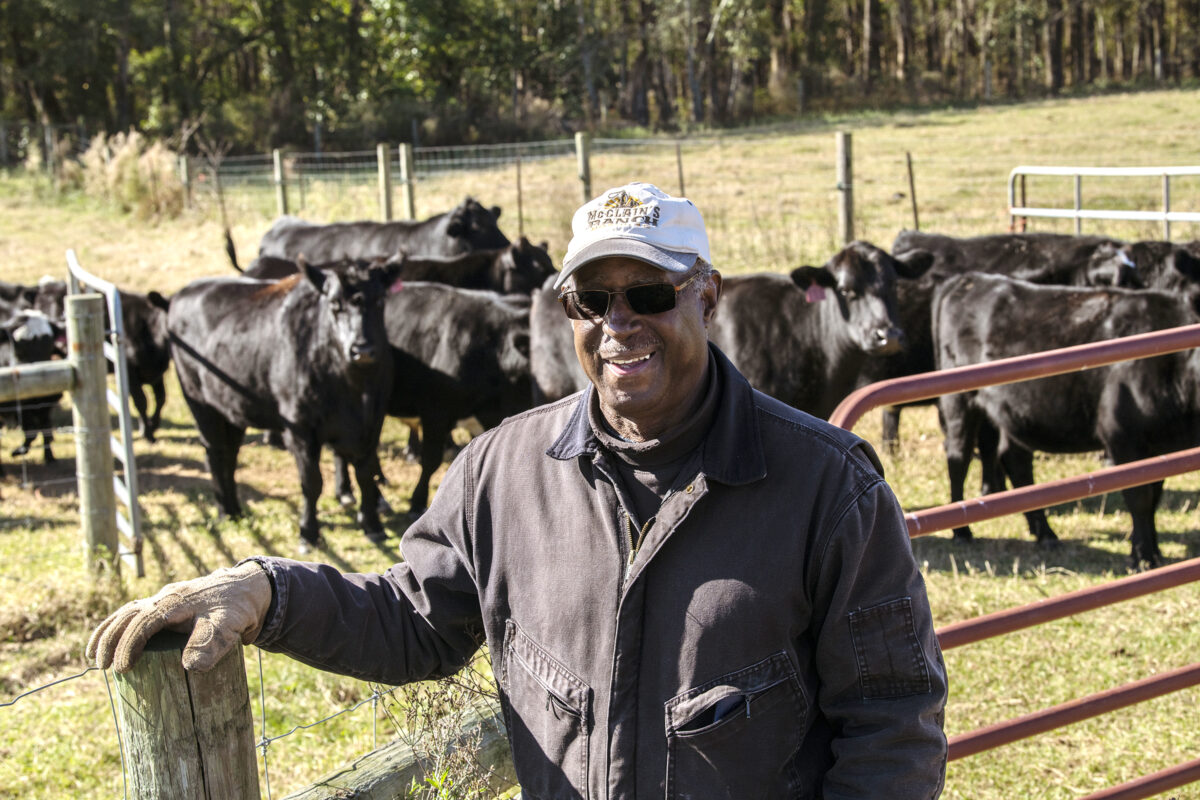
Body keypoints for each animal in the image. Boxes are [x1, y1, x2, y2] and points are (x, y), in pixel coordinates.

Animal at [168, 260, 403, 546]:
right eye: (334, 304)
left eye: (380, 300)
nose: (362, 350)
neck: (354, 388)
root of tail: (182, 293)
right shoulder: (300, 429)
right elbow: (311, 482)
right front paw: (308, 532)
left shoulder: (372, 425)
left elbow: (366, 474)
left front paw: (372, 525)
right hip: (200, 404)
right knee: (214, 453)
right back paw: (224, 511)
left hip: (231, 412)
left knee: (230, 457)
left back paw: (236, 510)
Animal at [936, 275, 1200, 568]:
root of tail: (970, 279)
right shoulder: (1123, 438)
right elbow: (1140, 498)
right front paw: (1143, 556)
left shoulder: (1159, 448)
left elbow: (1153, 496)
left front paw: (1152, 549)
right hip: (959, 402)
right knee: (958, 459)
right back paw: (962, 531)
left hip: (1013, 412)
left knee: (1016, 462)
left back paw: (1044, 532)